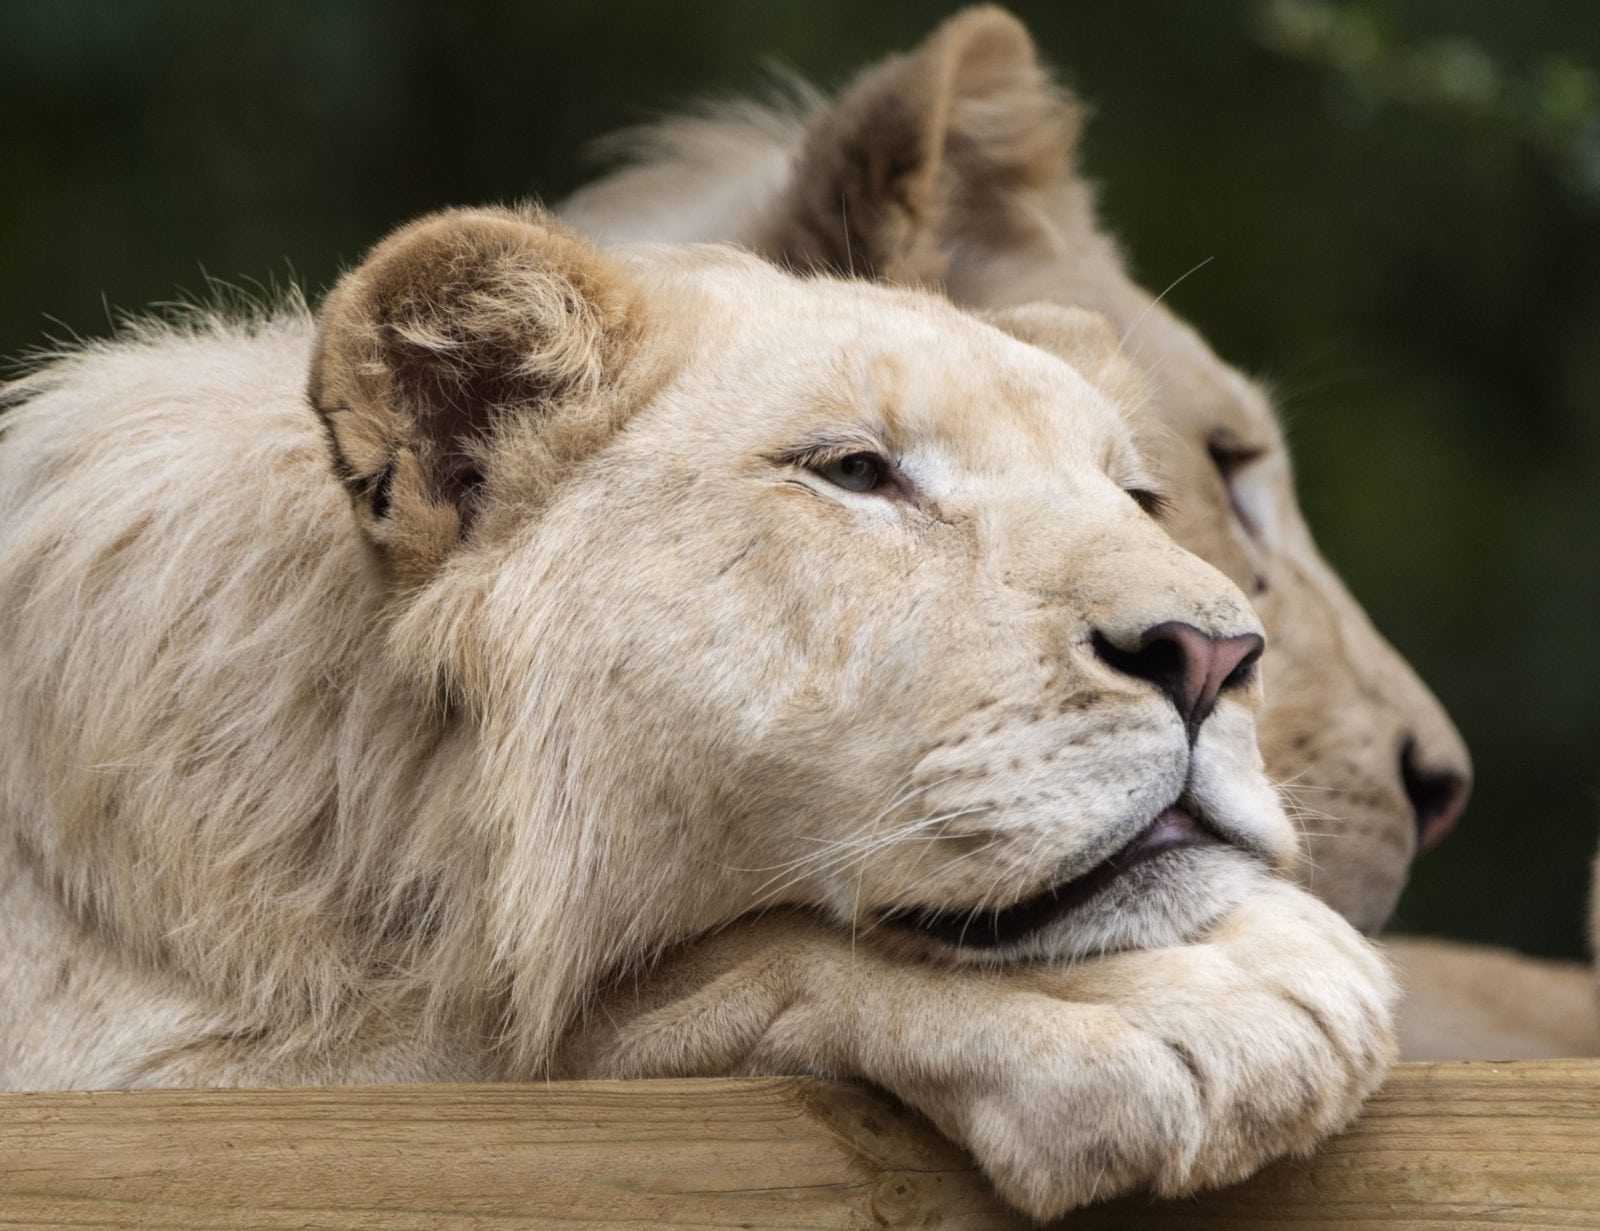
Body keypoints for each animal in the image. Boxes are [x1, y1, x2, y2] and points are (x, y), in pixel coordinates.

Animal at [0, 206, 1394, 1218]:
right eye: (855, 472)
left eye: (1135, 497)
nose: (1215, 654)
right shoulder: (150, 1093)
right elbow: (654, 989)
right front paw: (1182, 997)